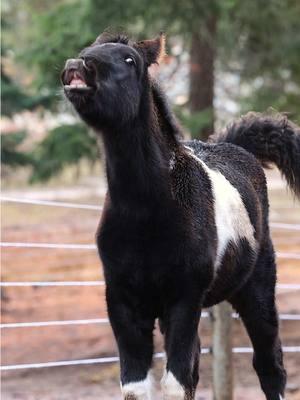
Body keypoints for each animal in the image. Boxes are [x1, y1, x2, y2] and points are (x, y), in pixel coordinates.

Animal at [61, 32, 300, 400]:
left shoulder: (184, 299)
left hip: (257, 290)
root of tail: (237, 147)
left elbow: (175, 382)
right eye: (87, 50)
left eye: (130, 60)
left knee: (270, 366)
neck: (147, 213)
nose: (79, 65)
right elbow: (138, 385)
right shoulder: (122, 301)